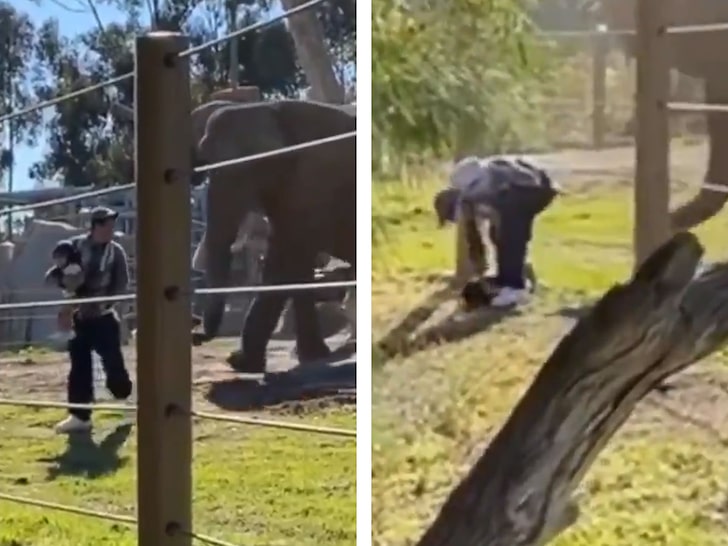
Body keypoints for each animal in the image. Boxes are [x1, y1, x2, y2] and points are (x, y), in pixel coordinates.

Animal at [191, 100, 356, 372]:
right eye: (205, 159)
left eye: (253, 165)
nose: (197, 335)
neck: (270, 109)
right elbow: (291, 262)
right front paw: (312, 356)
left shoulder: (312, 185)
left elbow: (285, 260)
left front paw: (240, 362)